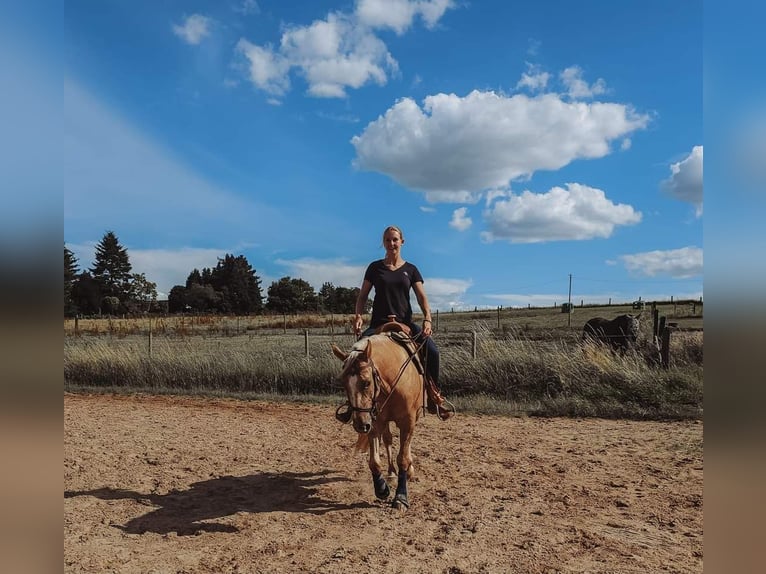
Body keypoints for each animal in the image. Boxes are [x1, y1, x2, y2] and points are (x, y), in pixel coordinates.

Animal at [332, 332, 426, 512]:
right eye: (343, 383)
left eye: (367, 382)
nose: (360, 425)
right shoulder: (374, 423)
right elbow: (374, 462)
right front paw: (382, 489)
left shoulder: (407, 422)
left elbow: (403, 457)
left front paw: (401, 498)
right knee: (388, 439)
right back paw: (390, 473)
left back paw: (409, 471)